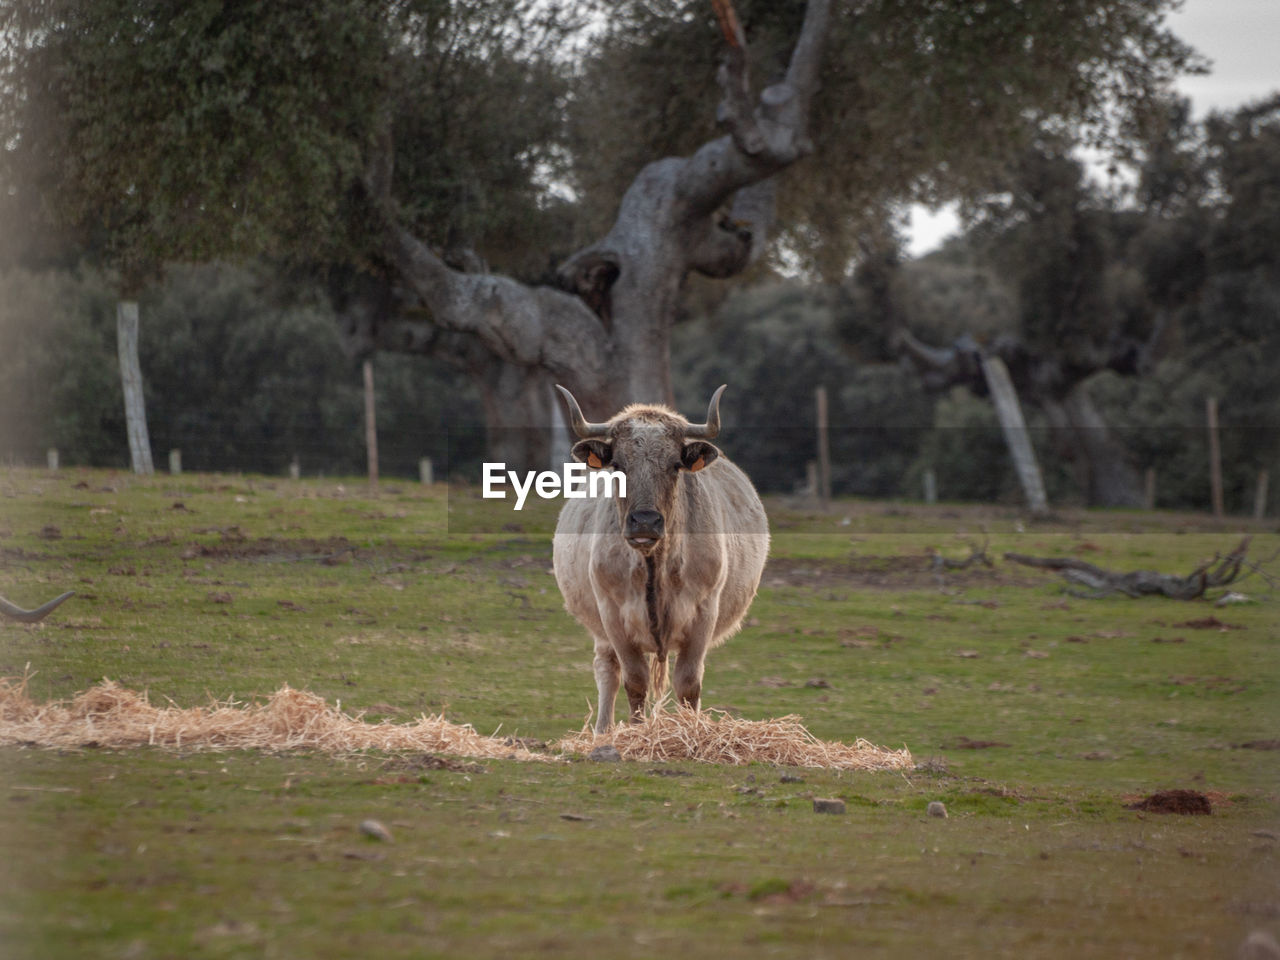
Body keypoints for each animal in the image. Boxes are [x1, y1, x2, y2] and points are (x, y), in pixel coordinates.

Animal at [552, 386, 768, 732]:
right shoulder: (613, 616)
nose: (644, 522)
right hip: (600, 630)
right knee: (607, 672)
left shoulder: (704, 612)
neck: (655, 567)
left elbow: (689, 683)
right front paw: (637, 732)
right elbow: (635, 681)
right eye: (618, 464)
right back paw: (602, 731)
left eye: (674, 464)